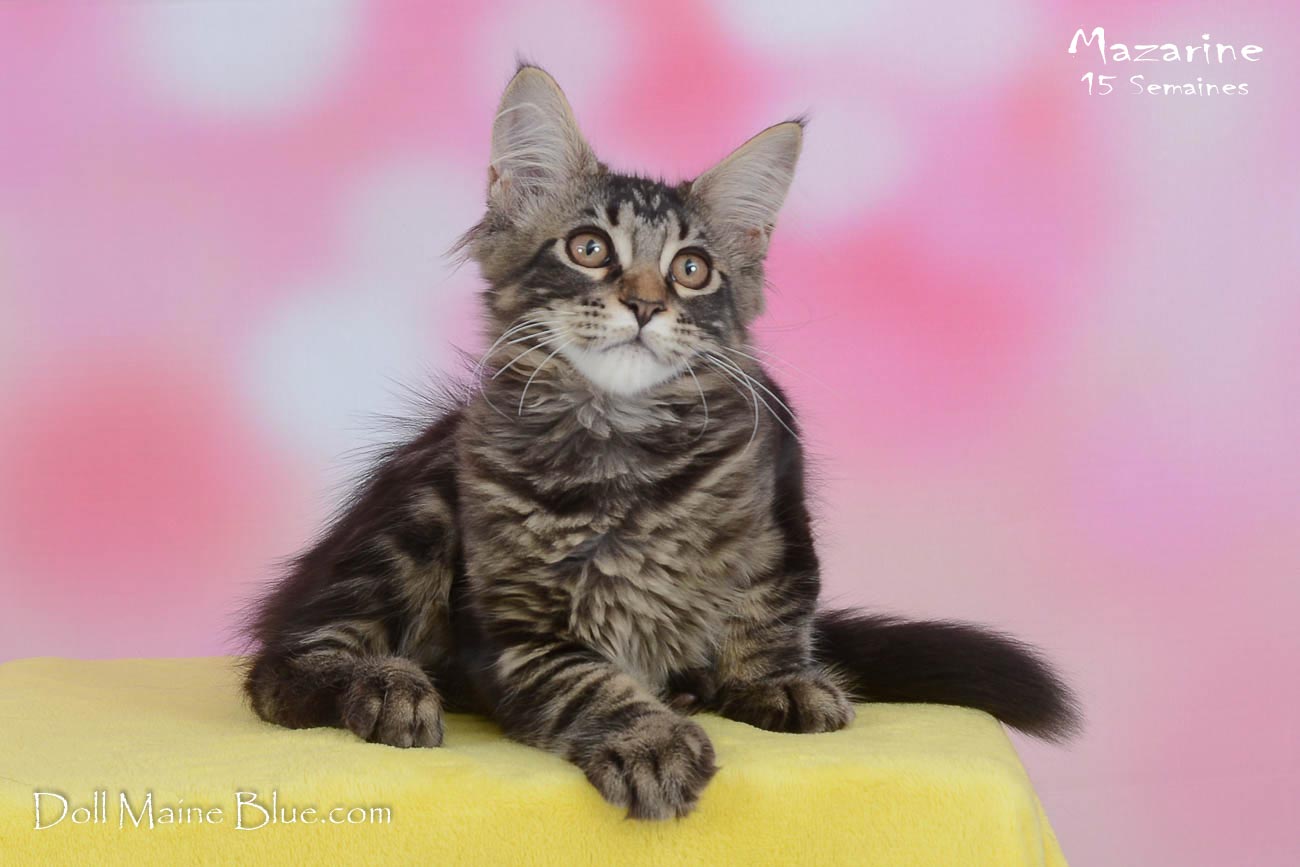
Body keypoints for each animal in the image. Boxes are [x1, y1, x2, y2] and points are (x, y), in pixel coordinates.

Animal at [242, 64, 1079, 820]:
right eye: (588, 248)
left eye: (692, 269)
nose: (645, 304)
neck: (622, 440)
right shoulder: (518, 626)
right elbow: (586, 680)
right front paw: (650, 738)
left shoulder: (780, 492)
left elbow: (773, 602)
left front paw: (772, 679)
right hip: (413, 513)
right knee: (282, 662)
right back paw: (386, 685)